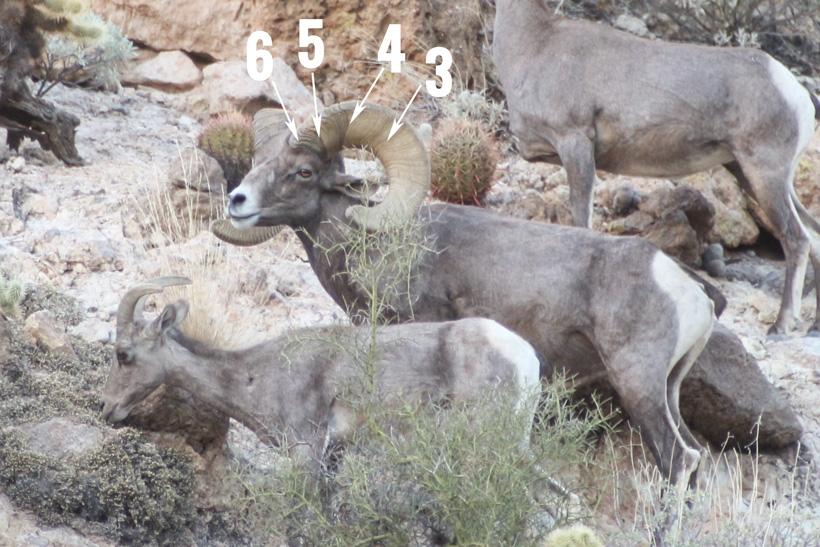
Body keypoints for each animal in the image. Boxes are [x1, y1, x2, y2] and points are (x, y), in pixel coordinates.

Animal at [210, 101, 717, 486]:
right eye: (258, 163)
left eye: (302, 171)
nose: (238, 201)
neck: (376, 245)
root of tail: (691, 293)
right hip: (666, 389)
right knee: (695, 458)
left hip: (638, 385)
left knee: (679, 461)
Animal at [493, 0, 819, 336]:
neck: (536, 43)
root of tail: (796, 92)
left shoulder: (575, 143)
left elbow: (581, 220)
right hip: (750, 175)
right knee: (813, 235)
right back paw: (813, 326)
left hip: (764, 175)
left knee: (797, 238)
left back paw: (780, 326)